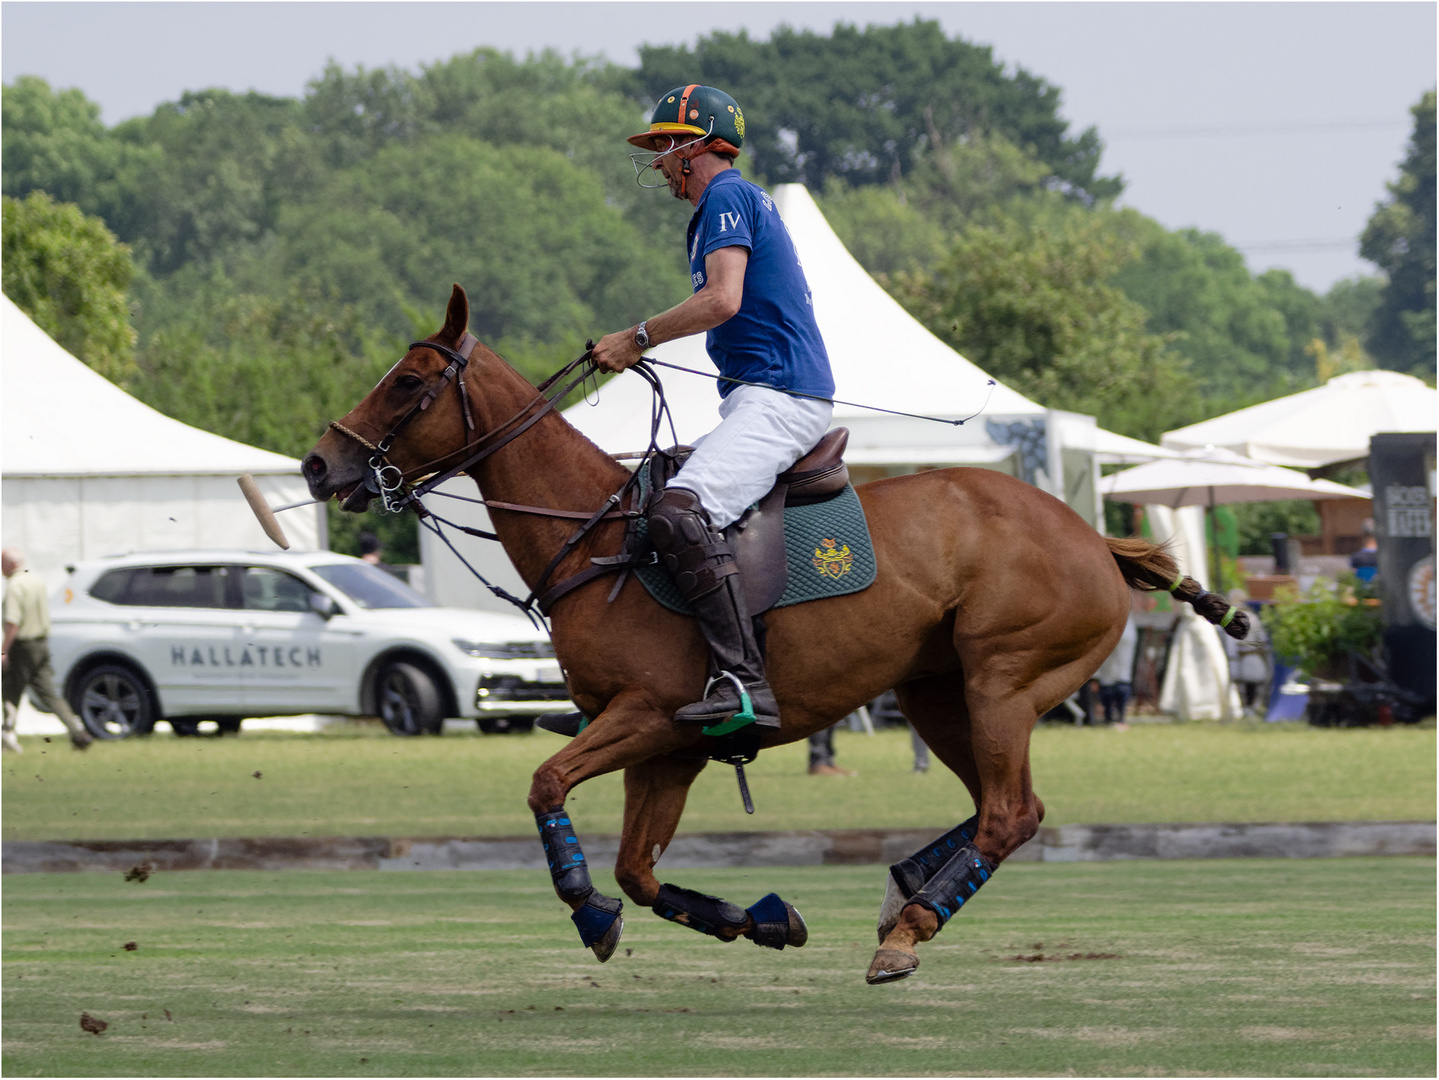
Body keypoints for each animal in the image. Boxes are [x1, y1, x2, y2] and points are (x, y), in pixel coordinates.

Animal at [297, 284, 1243, 977]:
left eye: (408, 382)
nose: (317, 463)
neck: (597, 538)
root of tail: (1093, 538)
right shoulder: (666, 747)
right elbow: (639, 869)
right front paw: (762, 918)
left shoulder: (646, 714)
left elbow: (547, 786)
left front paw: (589, 912)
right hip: (935, 690)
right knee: (1004, 807)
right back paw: (902, 893)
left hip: (1003, 677)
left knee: (1009, 812)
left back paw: (910, 928)